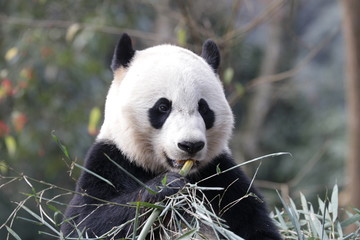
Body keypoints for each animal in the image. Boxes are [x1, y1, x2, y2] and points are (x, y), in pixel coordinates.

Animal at [60, 32, 282, 240]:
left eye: (204, 108)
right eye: (163, 107)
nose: (190, 145)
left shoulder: (220, 175)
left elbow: (254, 223)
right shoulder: (111, 162)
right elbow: (87, 223)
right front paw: (166, 186)